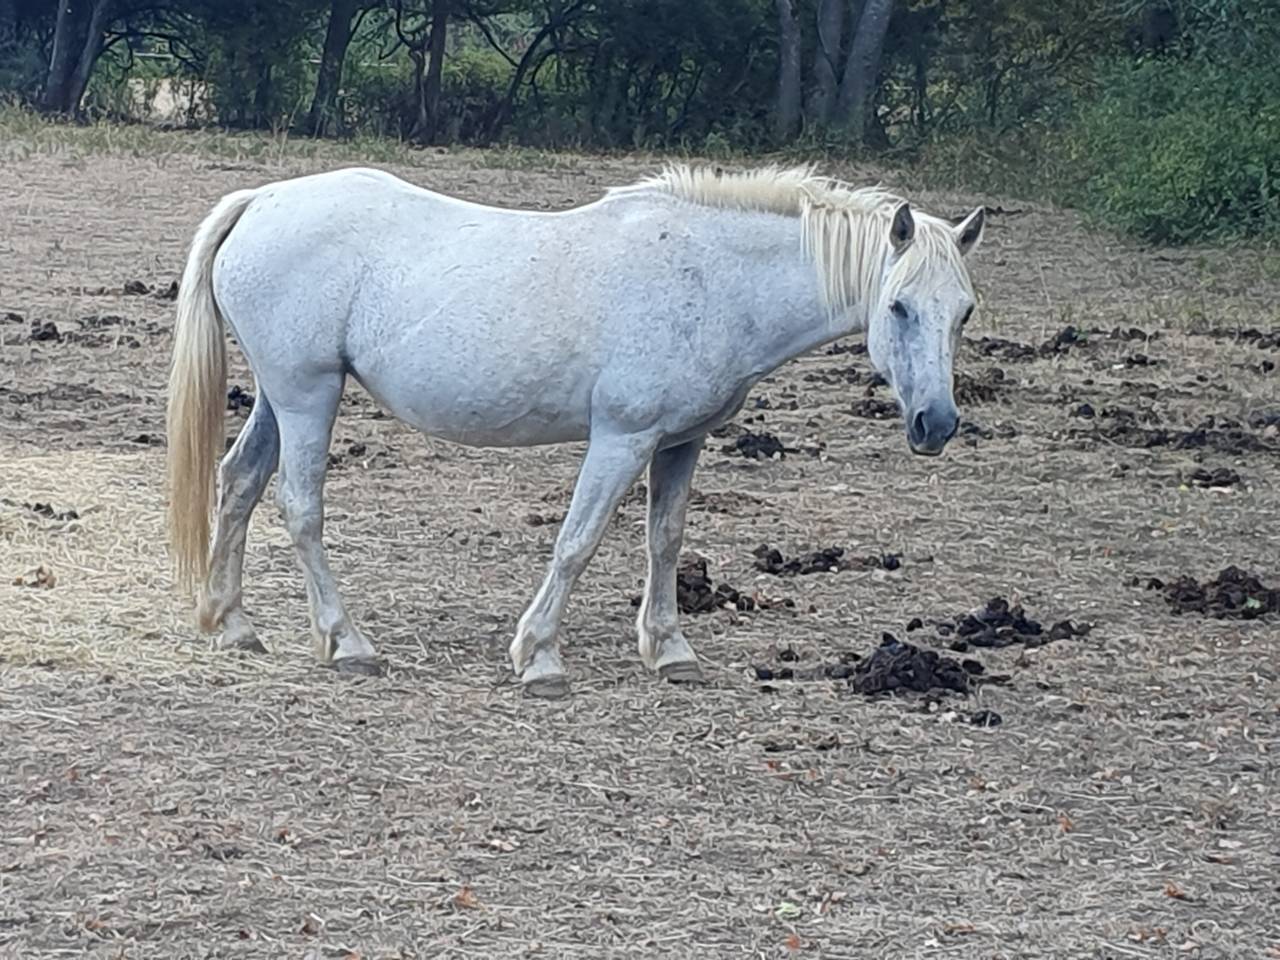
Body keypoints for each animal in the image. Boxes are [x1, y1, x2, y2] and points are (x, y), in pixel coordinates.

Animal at [166, 163, 985, 697]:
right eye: (899, 307)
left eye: (964, 311)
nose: (935, 424)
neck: (711, 278)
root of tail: (261, 200)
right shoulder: (622, 438)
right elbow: (578, 541)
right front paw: (539, 658)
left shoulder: (681, 442)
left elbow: (665, 539)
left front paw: (671, 650)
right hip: (308, 395)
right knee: (300, 507)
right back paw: (347, 644)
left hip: (284, 398)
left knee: (239, 483)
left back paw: (230, 623)